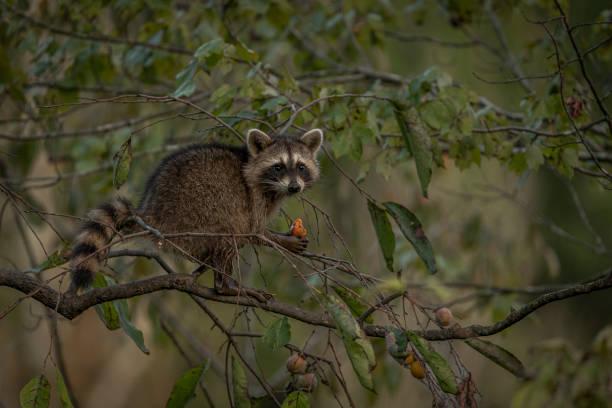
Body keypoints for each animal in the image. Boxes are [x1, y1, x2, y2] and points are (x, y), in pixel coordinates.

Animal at [69, 129, 322, 302]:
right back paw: (227, 286)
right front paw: (281, 240)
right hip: (200, 213)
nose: (294, 188)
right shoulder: (254, 198)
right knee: (229, 234)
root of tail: (153, 212)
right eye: (278, 167)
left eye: (301, 166)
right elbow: (254, 230)